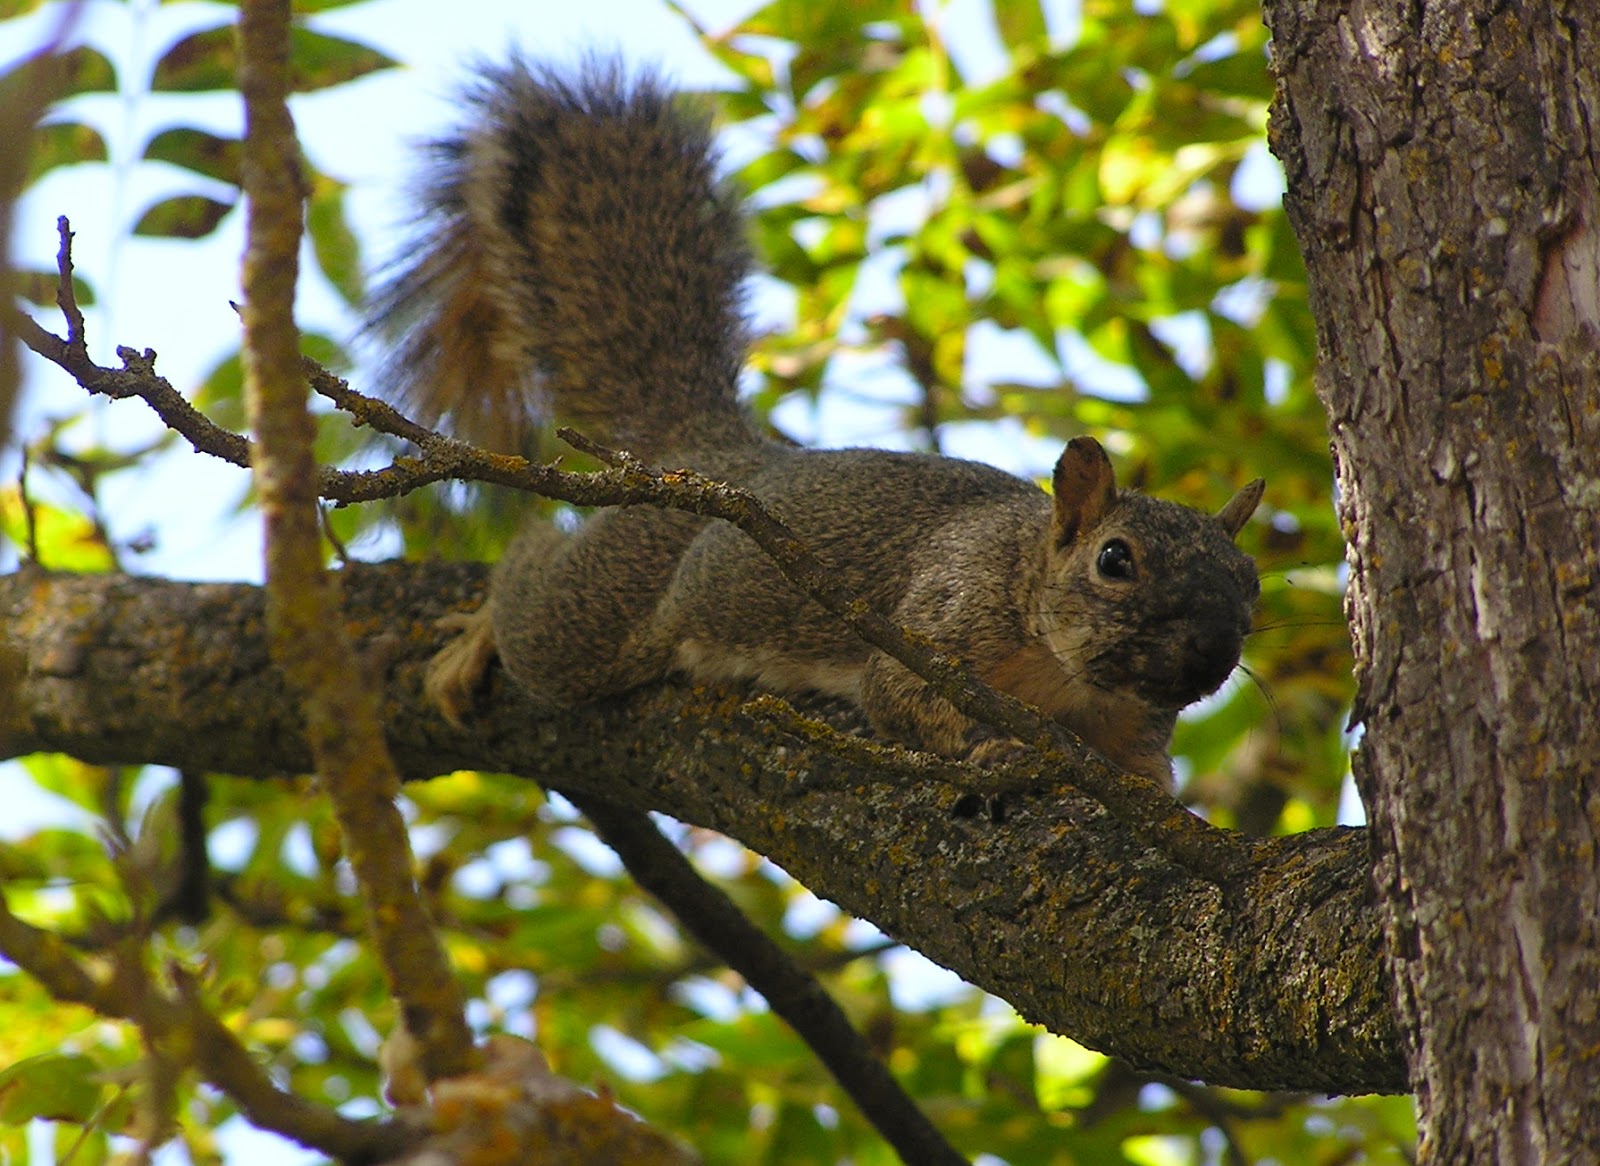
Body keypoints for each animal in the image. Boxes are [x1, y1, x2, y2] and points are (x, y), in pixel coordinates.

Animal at [370, 58, 1265, 785]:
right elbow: (902, 700)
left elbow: (1150, 782)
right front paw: (995, 747)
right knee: (536, 591)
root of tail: (715, 459)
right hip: (603, 603)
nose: (1211, 651)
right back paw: (479, 631)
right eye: (1115, 560)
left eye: (1253, 582)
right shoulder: (935, 627)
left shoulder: (1135, 729)